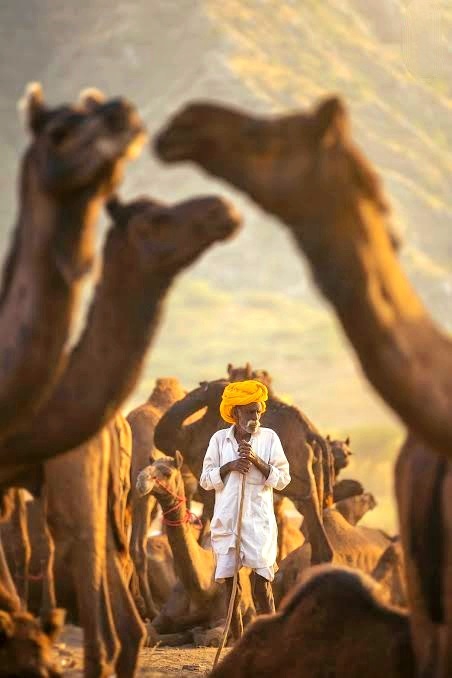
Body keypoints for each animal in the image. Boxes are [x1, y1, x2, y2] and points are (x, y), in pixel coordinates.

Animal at [136, 454, 255, 638]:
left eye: (167, 473)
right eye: (147, 467)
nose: (141, 481)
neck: (202, 587)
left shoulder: (223, 617)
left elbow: (212, 637)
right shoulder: (165, 615)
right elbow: (148, 632)